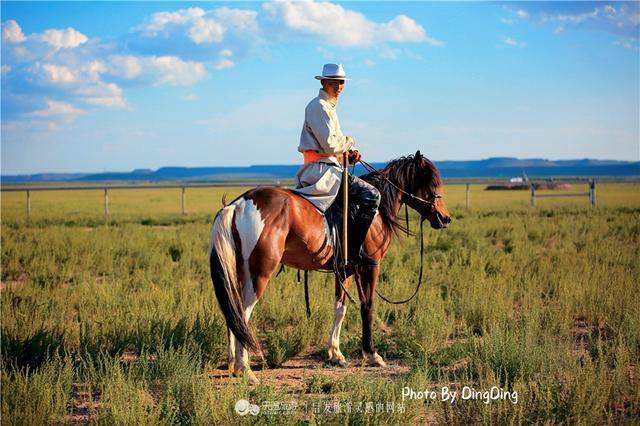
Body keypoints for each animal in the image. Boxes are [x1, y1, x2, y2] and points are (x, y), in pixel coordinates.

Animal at [210, 151, 450, 384]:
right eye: (432, 184)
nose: (445, 218)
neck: (377, 214)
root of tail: (238, 204)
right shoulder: (370, 266)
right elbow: (368, 307)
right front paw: (372, 354)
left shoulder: (345, 271)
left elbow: (340, 308)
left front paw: (336, 354)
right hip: (259, 273)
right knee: (243, 314)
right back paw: (245, 370)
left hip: (240, 272)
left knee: (233, 311)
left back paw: (233, 365)